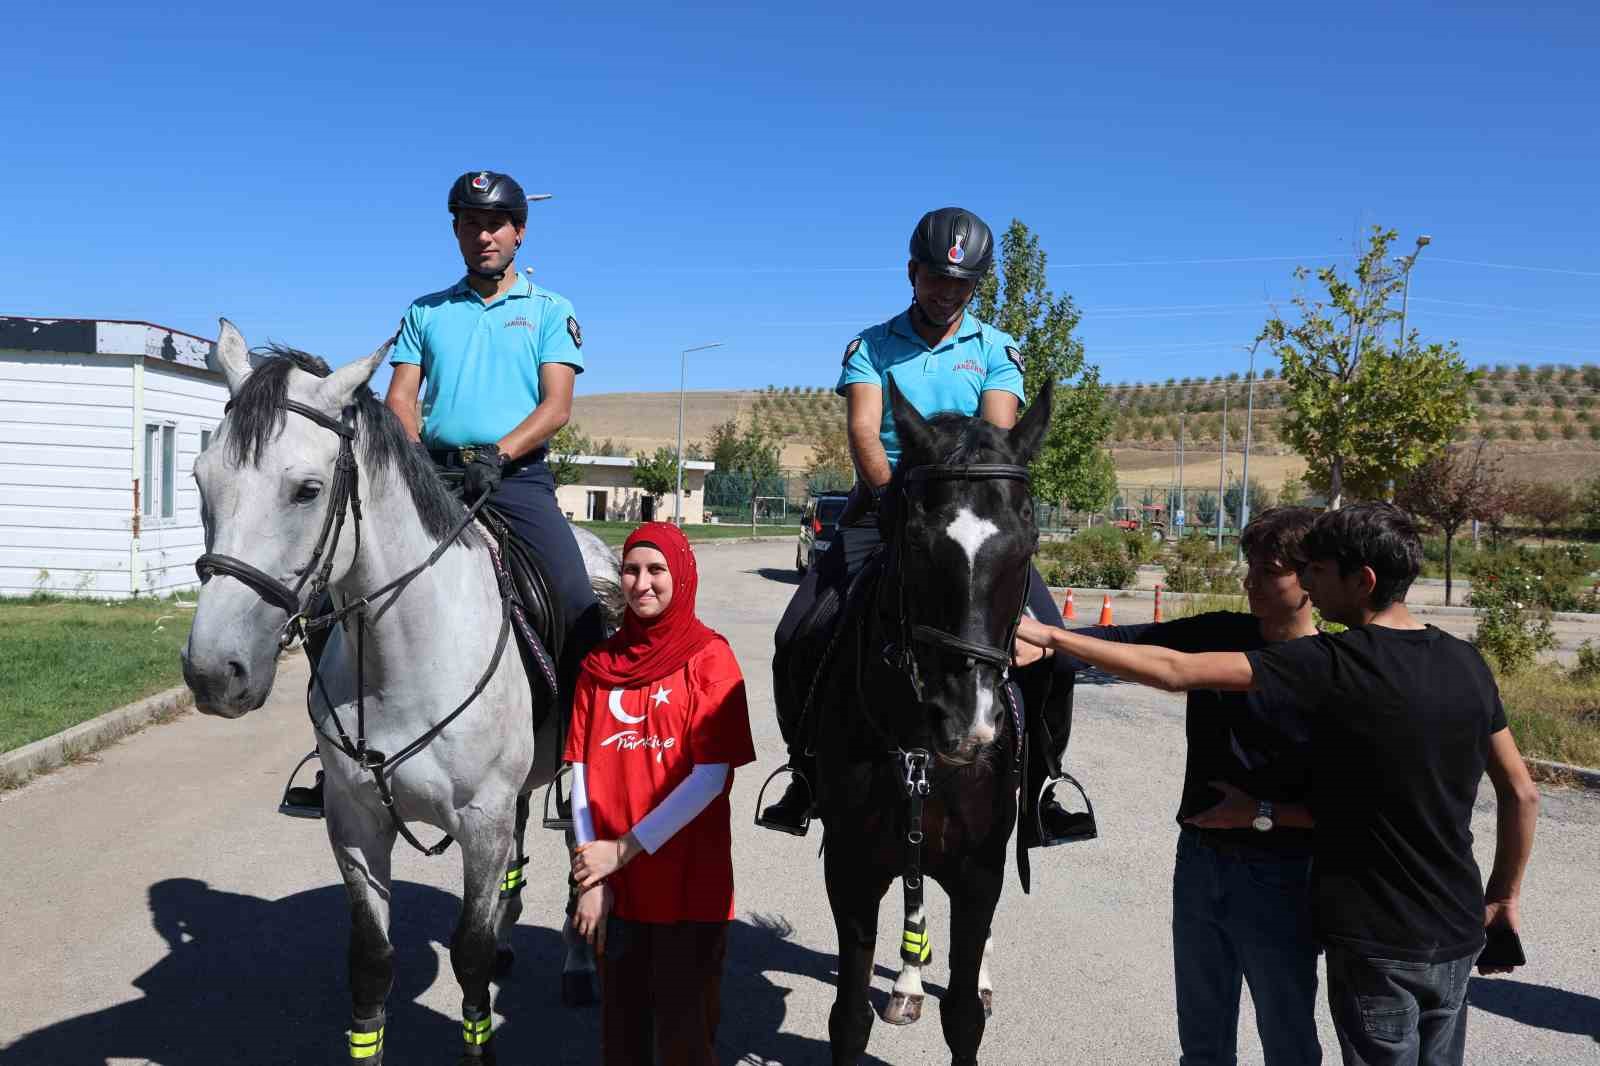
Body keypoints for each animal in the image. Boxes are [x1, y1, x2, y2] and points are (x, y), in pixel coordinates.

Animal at [183, 320, 611, 1056]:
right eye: (201, 477)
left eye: (306, 490)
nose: (214, 672)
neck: (403, 661)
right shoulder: (356, 823)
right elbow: (371, 964)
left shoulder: (480, 824)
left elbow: (468, 960)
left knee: (577, 853)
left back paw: (578, 967)